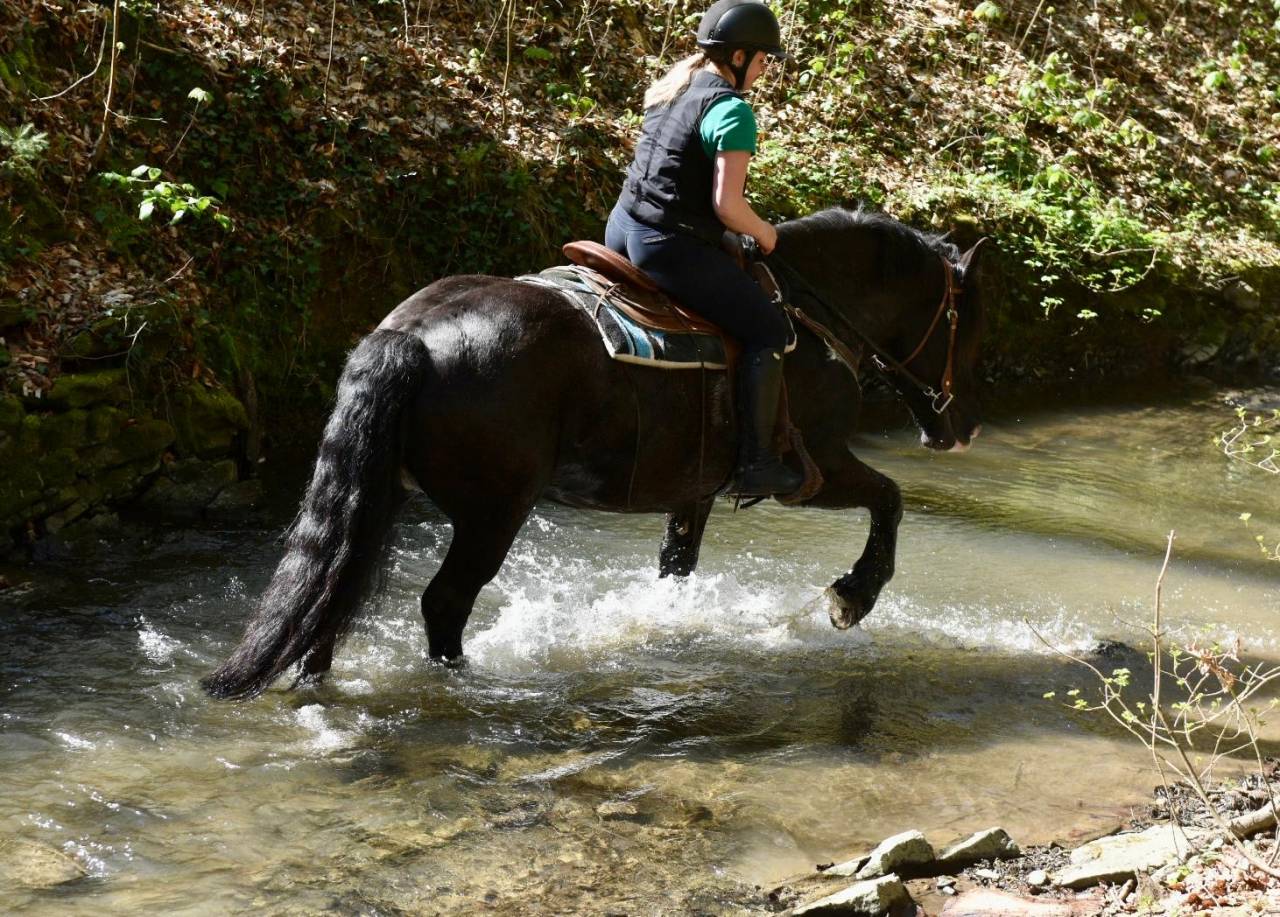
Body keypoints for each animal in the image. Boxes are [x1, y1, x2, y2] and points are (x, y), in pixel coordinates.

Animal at [202, 206, 988, 700]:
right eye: (965, 323)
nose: (961, 427)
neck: (809, 315)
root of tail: (413, 335)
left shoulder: (693, 492)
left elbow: (677, 568)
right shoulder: (816, 469)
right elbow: (890, 498)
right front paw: (853, 596)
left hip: (384, 496)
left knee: (336, 591)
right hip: (492, 513)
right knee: (444, 602)